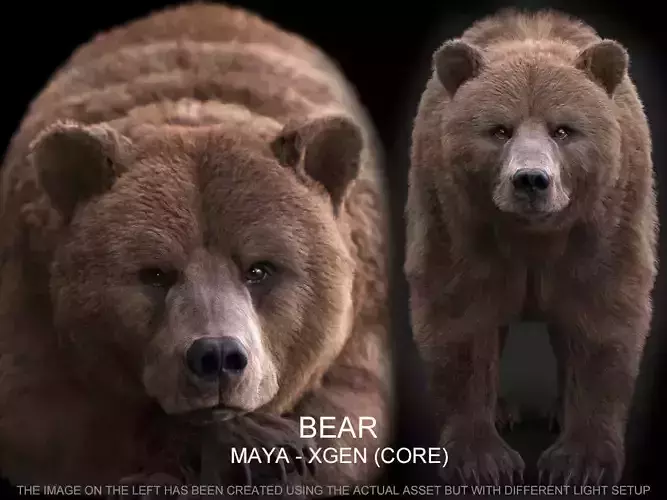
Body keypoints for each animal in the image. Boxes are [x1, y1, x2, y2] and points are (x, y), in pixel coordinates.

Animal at [0, 1, 392, 490]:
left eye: (260, 269)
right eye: (154, 273)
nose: (218, 356)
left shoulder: (364, 323)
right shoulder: (31, 299)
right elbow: (44, 416)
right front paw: (254, 441)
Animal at [405, 8, 657, 486]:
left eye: (564, 130)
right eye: (499, 130)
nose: (531, 180)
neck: (533, 235)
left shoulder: (605, 223)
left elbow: (601, 318)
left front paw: (579, 461)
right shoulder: (458, 220)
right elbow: (461, 318)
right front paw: (483, 460)